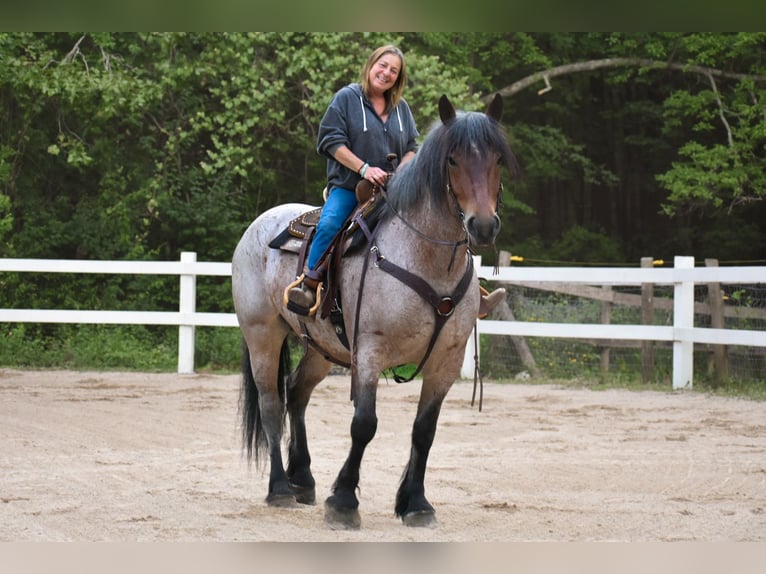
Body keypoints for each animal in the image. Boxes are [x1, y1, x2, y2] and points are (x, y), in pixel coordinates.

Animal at [232, 94, 520, 532]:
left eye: (497, 159)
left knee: (296, 393)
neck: (424, 258)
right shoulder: (369, 352)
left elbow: (424, 430)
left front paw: (416, 503)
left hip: (320, 347)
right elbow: (364, 424)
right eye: (452, 160)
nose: (483, 225)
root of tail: (260, 224)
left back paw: (304, 481)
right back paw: (280, 488)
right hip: (263, 335)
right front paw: (343, 502)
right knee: (271, 404)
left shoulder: (447, 361)